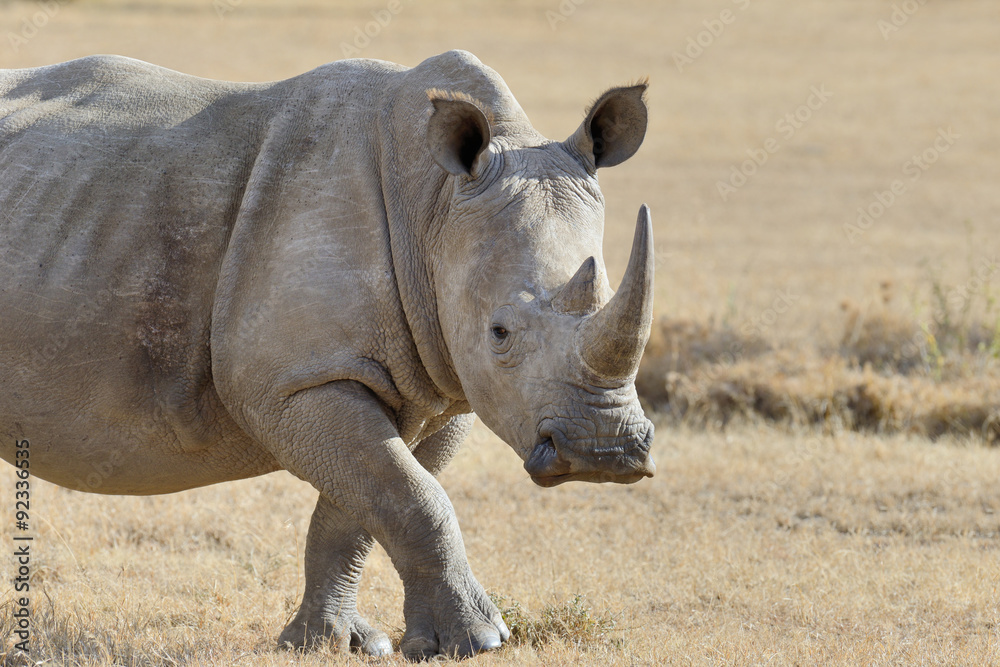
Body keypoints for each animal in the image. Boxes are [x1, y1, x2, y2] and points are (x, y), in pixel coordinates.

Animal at [0, 50, 654, 659]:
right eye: (499, 333)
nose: (605, 453)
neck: (433, 207)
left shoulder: (442, 388)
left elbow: (366, 507)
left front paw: (335, 642)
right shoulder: (294, 382)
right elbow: (414, 499)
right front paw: (479, 641)